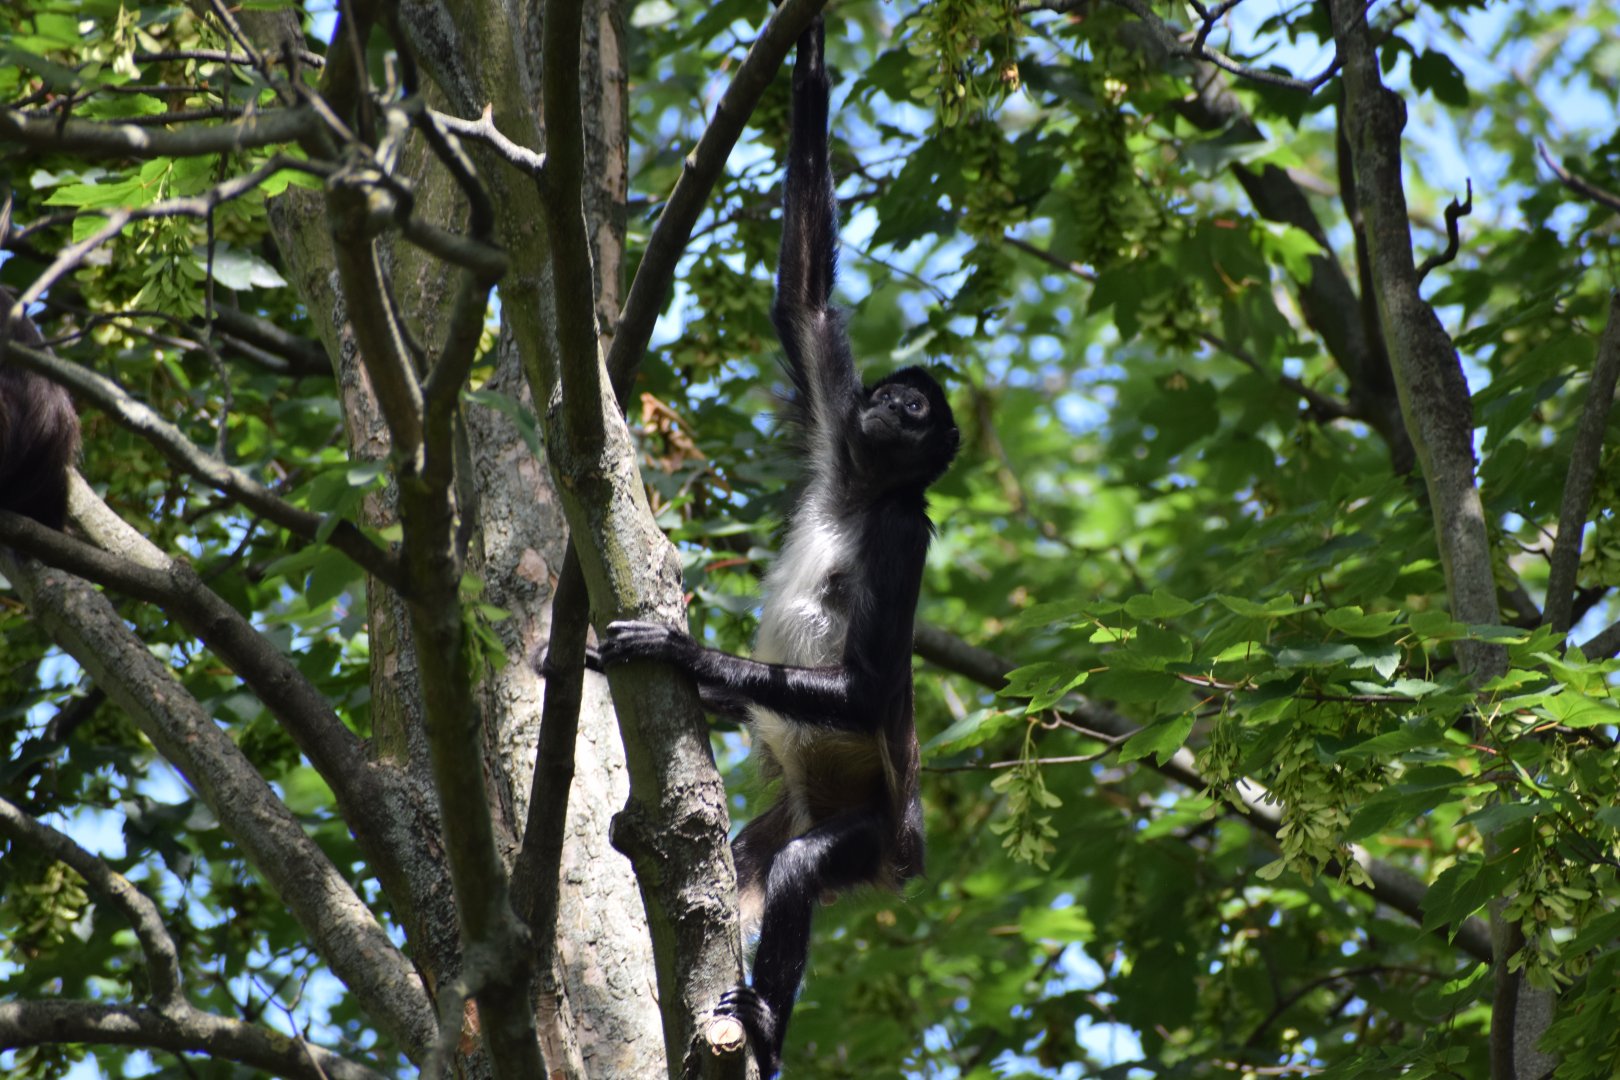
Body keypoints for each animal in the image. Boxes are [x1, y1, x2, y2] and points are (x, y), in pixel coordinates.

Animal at [600, 18, 959, 1077]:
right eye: (892, 395)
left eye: (917, 412)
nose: (894, 407)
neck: (863, 490)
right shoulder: (838, 434)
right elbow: (802, 303)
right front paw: (808, 54)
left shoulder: (903, 527)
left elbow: (873, 687)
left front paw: (682, 652)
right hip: (786, 818)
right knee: (745, 862)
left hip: (869, 835)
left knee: (802, 868)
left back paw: (762, 1025)